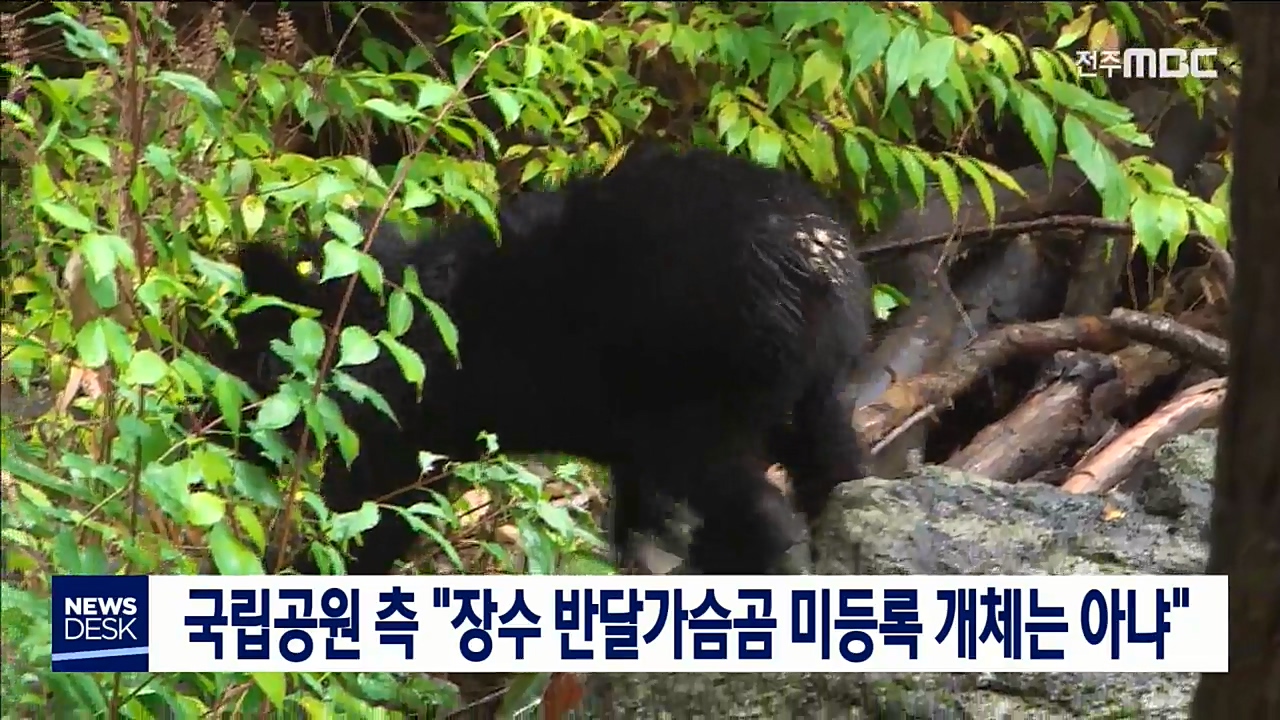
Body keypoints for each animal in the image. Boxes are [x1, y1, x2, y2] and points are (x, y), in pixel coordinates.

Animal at [209, 142, 875, 573]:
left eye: (253, 367)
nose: (226, 436)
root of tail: (817, 257)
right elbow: (638, 514)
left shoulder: (397, 422)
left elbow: (375, 512)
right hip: (808, 385)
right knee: (834, 465)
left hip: (706, 389)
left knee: (754, 503)